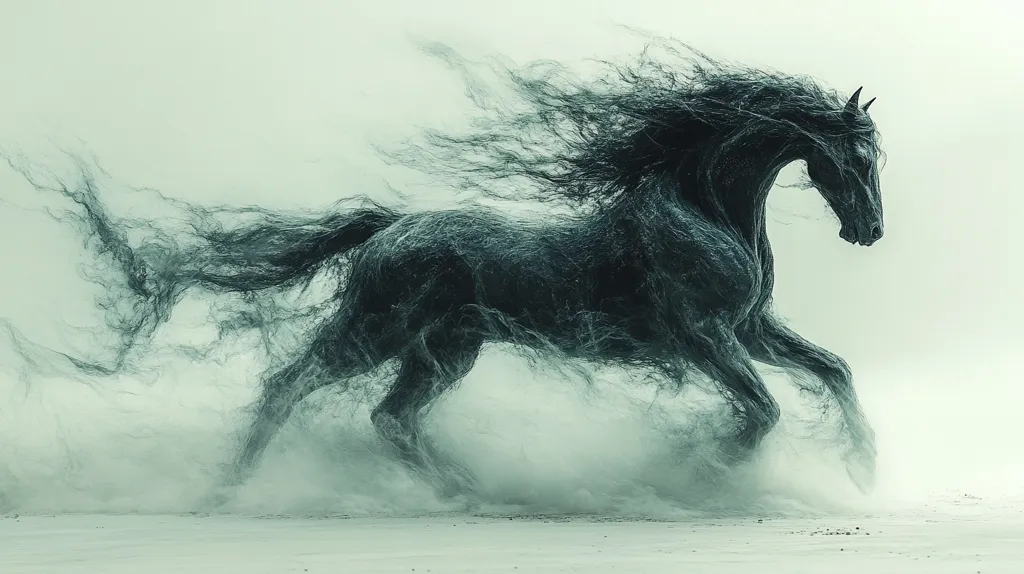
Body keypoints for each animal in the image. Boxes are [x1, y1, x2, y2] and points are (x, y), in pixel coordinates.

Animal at [4, 41, 885, 496]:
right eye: (856, 157)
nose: (871, 231)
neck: (702, 209)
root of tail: (391, 228)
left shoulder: (750, 329)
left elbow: (833, 372)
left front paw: (865, 472)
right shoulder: (704, 335)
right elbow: (761, 412)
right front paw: (695, 471)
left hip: (444, 350)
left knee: (390, 418)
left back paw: (463, 490)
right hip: (377, 329)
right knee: (289, 382)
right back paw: (230, 490)